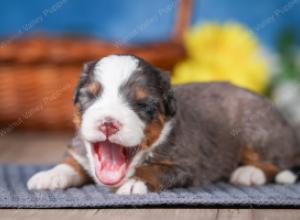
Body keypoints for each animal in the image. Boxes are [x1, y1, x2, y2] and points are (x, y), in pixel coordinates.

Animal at [27, 55, 300, 194]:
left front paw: (133, 182)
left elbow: (153, 170)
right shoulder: (79, 148)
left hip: (258, 130)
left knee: (278, 163)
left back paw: (249, 172)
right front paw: (49, 176)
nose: (108, 124)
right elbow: (71, 162)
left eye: (142, 104)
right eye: (90, 96)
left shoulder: (185, 164)